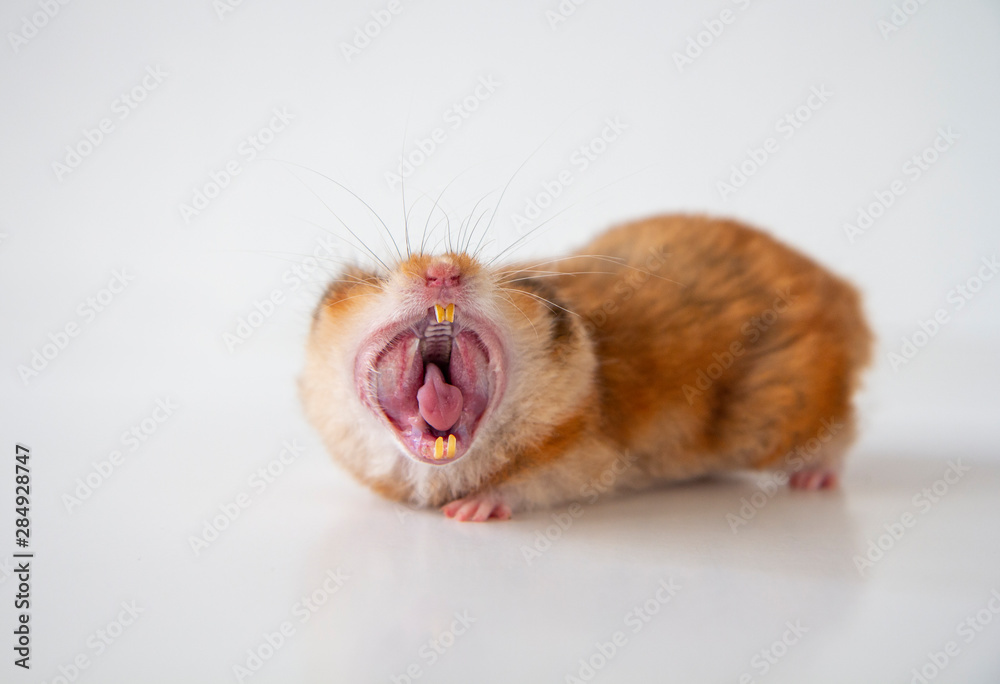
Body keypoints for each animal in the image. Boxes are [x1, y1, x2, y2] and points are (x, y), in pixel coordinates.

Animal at [300, 214, 872, 521]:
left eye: (517, 283)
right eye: (374, 278)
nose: (443, 271)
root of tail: (842, 292)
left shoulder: (588, 459)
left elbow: (523, 482)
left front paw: (467, 512)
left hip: (780, 418)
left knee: (839, 436)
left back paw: (813, 481)